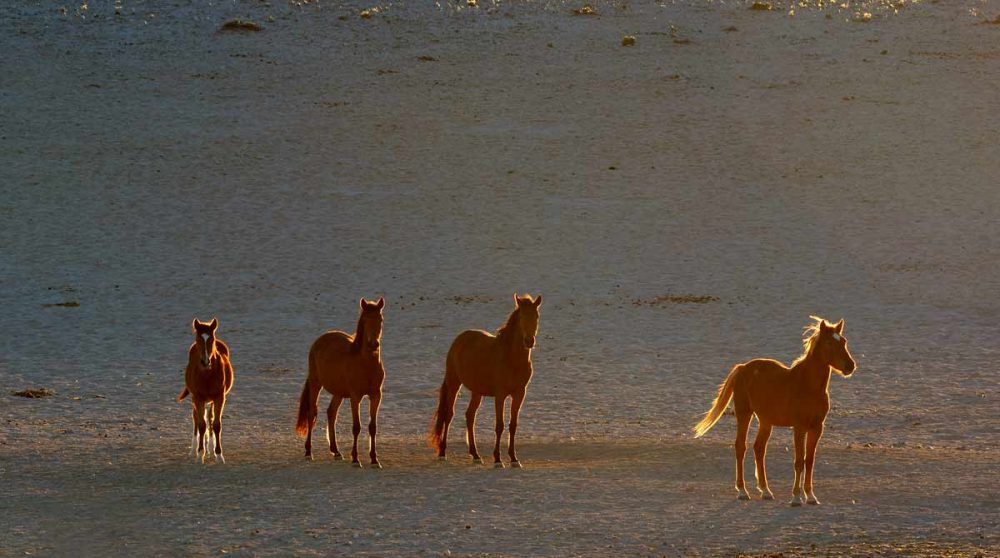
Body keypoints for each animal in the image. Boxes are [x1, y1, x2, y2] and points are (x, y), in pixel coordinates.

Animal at [177, 317, 235, 464]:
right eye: (198, 339)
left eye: (211, 339)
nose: (205, 361)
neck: (207, 374)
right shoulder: (198, 398)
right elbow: (201, 424)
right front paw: (199, 454)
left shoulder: (219, 397)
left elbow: (216, 424)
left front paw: (218, 455)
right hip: (194, 398)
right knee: (196, 419)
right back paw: (193, 450)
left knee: (209, 417)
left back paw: (210, 448)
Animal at [296, 297, 386, 468]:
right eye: (365, 319)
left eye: (380, 319)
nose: (374, 344)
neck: (366, 364)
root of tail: (320, 339)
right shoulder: (355, 397)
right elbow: (356, 427)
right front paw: (356, 459)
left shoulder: (376, 395)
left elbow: (372, 427)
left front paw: (374, 459)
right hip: (316, 384)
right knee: (312, 413)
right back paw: (308, 452)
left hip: (338, 392)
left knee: (331, 413)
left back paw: (336, 451)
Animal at [429, 293, 542, 468]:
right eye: (522, 316)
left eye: (536, 316)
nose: (529, 341)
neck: (512, 359)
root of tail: (459, 339)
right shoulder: (500, 395)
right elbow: (499, 425)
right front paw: (497, 460)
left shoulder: (519, 394)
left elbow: (513, 425)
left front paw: (514, 459)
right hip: (454, 384)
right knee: (449, 415)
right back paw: (442, 452)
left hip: (477, 391)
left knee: (470, 416)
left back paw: (475, 455)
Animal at [693, 317, 856, 506]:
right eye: (829, 343)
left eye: (844, 341)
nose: (850, 366)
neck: (808, 386)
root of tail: (742, 368)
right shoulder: (799, 427)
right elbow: (799, 461)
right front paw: (796, 497)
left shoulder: (817, 428)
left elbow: (810, 461)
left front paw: (810, 496)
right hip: (744, 414)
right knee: (740, 447)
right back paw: (742, 491)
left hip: (765, 421)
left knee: (759, 448)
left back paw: (765, 491)